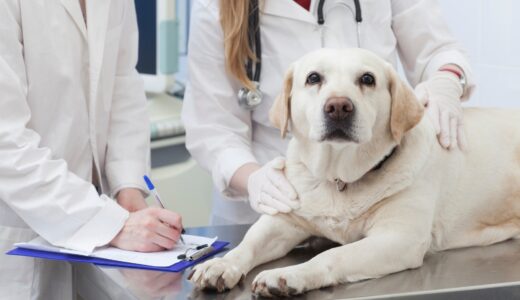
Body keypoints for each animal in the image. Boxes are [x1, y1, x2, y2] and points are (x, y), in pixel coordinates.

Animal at [187, 48, 520, 296]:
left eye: (367, 79)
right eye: (313, 78)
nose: (338, 106)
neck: (340, 179)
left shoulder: (400, 238)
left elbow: (333, 255)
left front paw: (291, 275)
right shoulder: (284, 221)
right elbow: (248, 244)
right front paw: (220, 265)